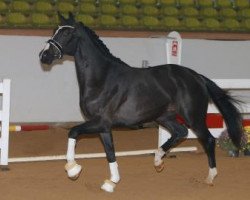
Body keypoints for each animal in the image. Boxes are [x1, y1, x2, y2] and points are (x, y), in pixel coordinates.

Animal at [39, 13, 244, 193]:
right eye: (55, 30)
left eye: (67, 33)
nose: (44, 56)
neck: (103, 79)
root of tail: (197, 76)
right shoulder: (104, 127)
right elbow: (110, 153)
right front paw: (111, 183)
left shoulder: (100, 122)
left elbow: (73, 132)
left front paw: (73, 170)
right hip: (164, 117)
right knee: (180, 132)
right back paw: (158, 160)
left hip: (193, 117)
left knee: (208, 139)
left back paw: (210, 177)